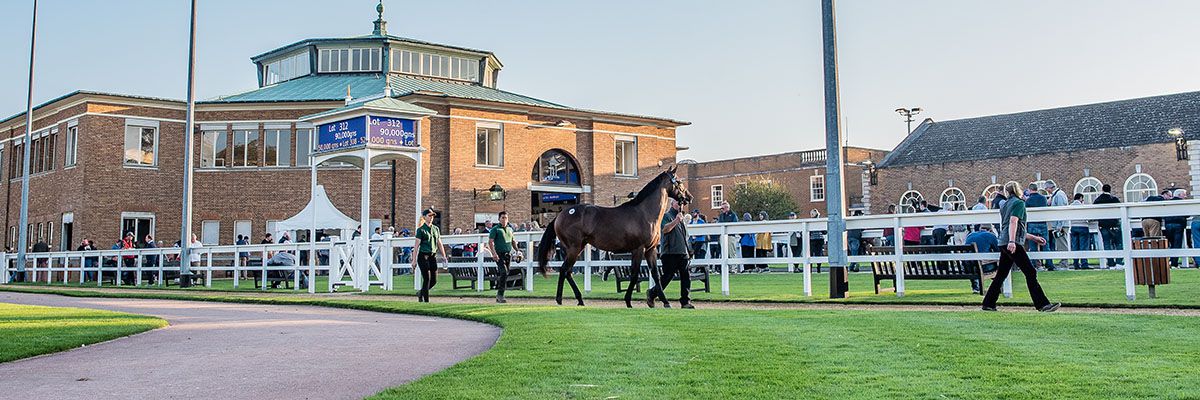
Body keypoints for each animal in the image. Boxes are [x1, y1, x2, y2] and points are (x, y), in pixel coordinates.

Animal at [537, 166, 696, 306]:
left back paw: (580, 299)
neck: (644, 214)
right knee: (564, 270)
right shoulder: (638, 249)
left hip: (578, 247)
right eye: (679, 181)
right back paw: (560, 299)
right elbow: (634, 274)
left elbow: (656, 275)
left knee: (568, 271)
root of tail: (559, 216)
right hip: (573, 248)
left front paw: (664, 302)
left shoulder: (650, 250)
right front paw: (628, 301)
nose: (689, 197)